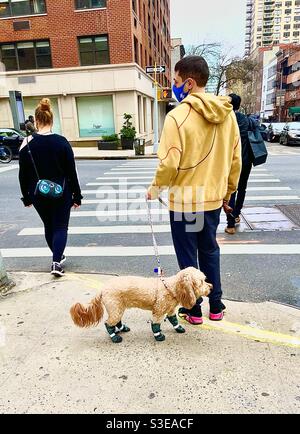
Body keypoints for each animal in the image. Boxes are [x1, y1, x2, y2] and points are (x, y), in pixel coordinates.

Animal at [70, 266, 211, 344]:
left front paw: (178, 328)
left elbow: (173, 320)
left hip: (118, 308)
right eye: (201, 282)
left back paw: (122, 328)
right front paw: (159, 336)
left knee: (116, 321)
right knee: (108, 324)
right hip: (115, 309)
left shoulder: (170, 310)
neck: (171, 288)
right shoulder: (158, 311)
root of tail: (102, 289)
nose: (211, 286)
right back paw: (114, 337)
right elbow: (156, 325)